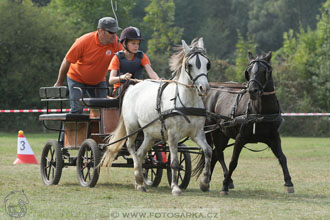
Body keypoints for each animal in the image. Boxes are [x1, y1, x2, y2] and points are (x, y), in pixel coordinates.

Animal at [102, 37, 213, 196]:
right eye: (190, 65)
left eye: (207, 64)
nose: (204, 88)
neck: (185, 101)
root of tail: (132, 86)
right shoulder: (172, 135)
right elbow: (174, 162)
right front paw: (175, 187)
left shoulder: (197, 133)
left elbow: (208, 151)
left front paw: (204, 183)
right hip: (132, 128)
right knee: (131, 147)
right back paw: (139, 178)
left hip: (150, 134)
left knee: (140, 153)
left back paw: (139, 182)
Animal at [193, 51, 294, 194]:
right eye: (249, 71)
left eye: (264, 71)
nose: (252, 90)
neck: (259, 112)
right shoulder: (240, 138)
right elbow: (233, 162)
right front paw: (224, 186)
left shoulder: (274, 137)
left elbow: (282, 157)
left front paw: (289, 183)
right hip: (216, 131)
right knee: (218, 154)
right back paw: (224, 180)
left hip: (223, 134)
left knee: (215, 154)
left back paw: (207, 182)